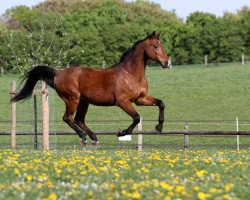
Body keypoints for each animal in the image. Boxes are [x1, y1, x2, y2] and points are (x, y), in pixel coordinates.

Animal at [11, 31, 168, 147]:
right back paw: (84, 137)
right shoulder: (122, 102)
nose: (166, 62)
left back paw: (94, 138)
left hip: (83, 102)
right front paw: (121, 132)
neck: (131, 74)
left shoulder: (140, 99)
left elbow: (161, 103)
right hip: (72, 99)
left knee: (79, 120)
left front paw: (159, 127)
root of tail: (57, 74)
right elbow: (136, 117)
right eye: (155, 46)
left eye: (162, 45)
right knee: (68, 118)